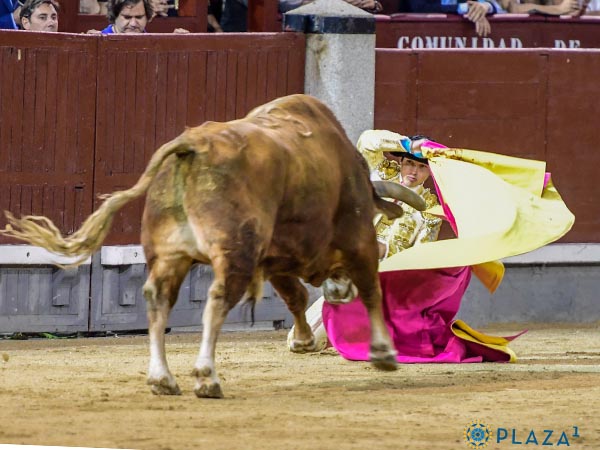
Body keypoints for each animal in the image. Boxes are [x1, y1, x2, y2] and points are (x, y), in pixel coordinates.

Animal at [4, 94, 426, 398]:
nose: (338, 291)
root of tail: (193, 143)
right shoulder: (358, 242)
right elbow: (369, 291)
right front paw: (383, 353)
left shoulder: (274, 259)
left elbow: (295, 298)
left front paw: (304, 341)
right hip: (235, 252)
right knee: (218, 298)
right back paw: (206, 377)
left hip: (171, 253)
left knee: (158, 299)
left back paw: (163, 378)